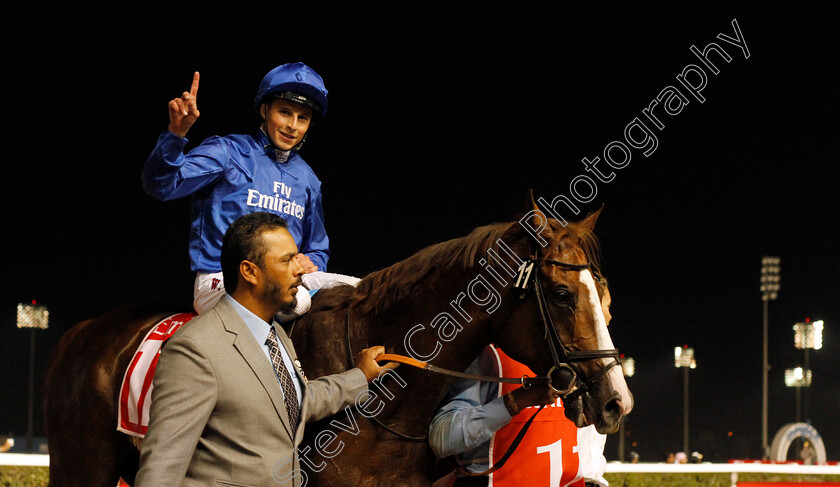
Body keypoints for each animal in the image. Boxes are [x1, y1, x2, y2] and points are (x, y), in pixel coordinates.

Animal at [44, 204, 632, 486]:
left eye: (605, 300)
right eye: (561, 294)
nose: (616, 402)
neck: (387, 407)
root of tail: (82, 331)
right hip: (82, 467)